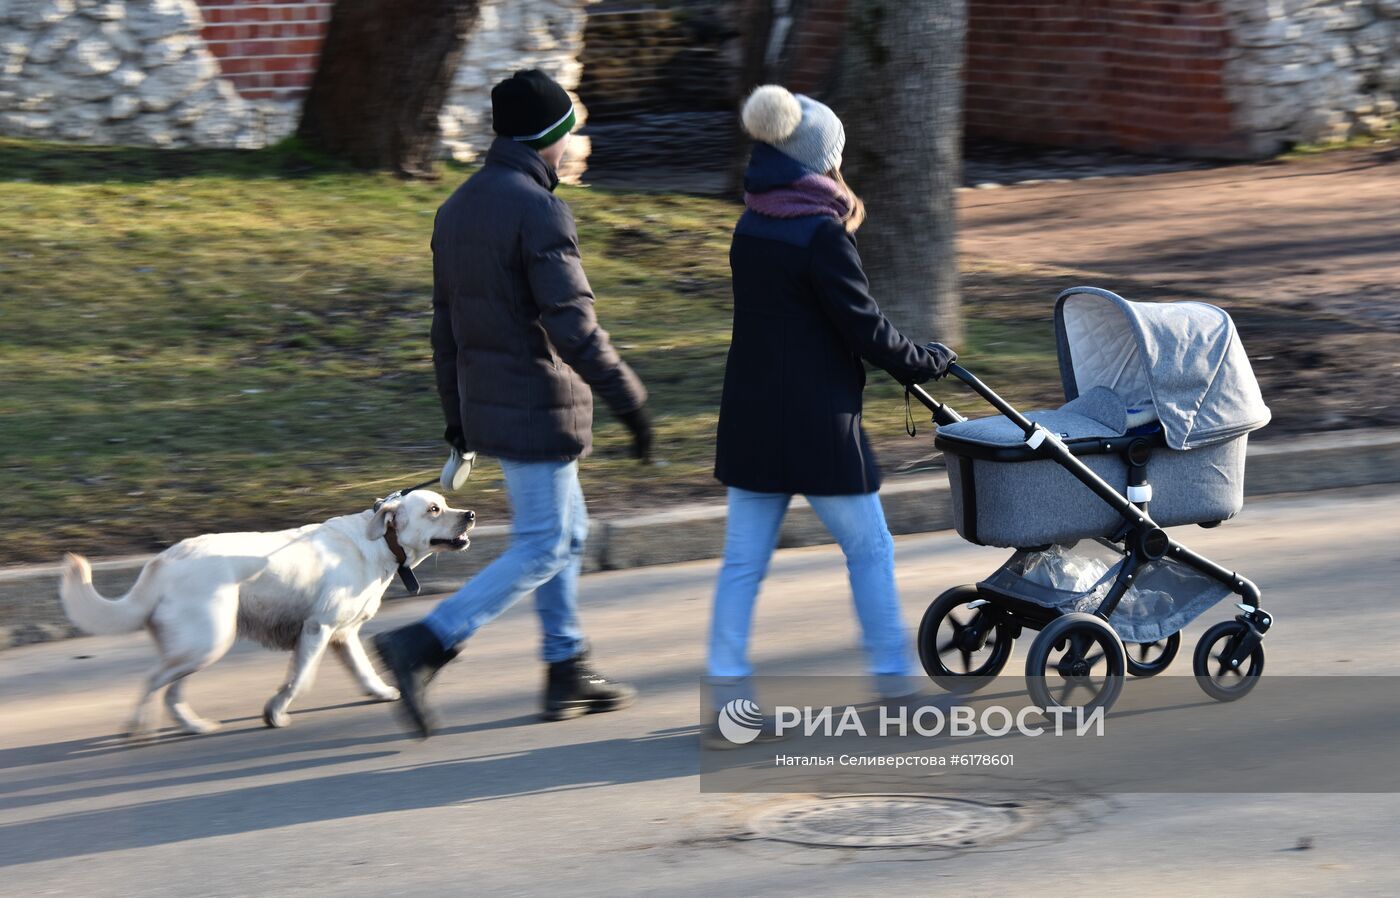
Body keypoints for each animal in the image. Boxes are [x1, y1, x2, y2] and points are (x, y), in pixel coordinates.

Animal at [58, 490, 476, 734]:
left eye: (445, 503)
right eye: (434, 509)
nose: (470, 513)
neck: (381, 543)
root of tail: (163, 561)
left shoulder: (342, 635)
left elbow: (362, 668)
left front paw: (381, 691)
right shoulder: (317, 629)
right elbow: (298, 679)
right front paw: (275, 711)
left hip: (196, 647)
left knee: (170, 691)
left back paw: (194, 726)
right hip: (208, 641)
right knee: (152, 681)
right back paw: (138, 727)